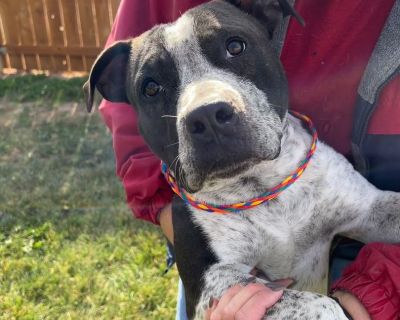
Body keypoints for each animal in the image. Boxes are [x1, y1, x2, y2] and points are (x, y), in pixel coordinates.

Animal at [83, 1, 398, 318]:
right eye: (151, 87)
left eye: (235, 46)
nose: (207, 115)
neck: (260, 187)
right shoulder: (212, 284)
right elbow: (312, 302)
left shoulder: (372, 208)